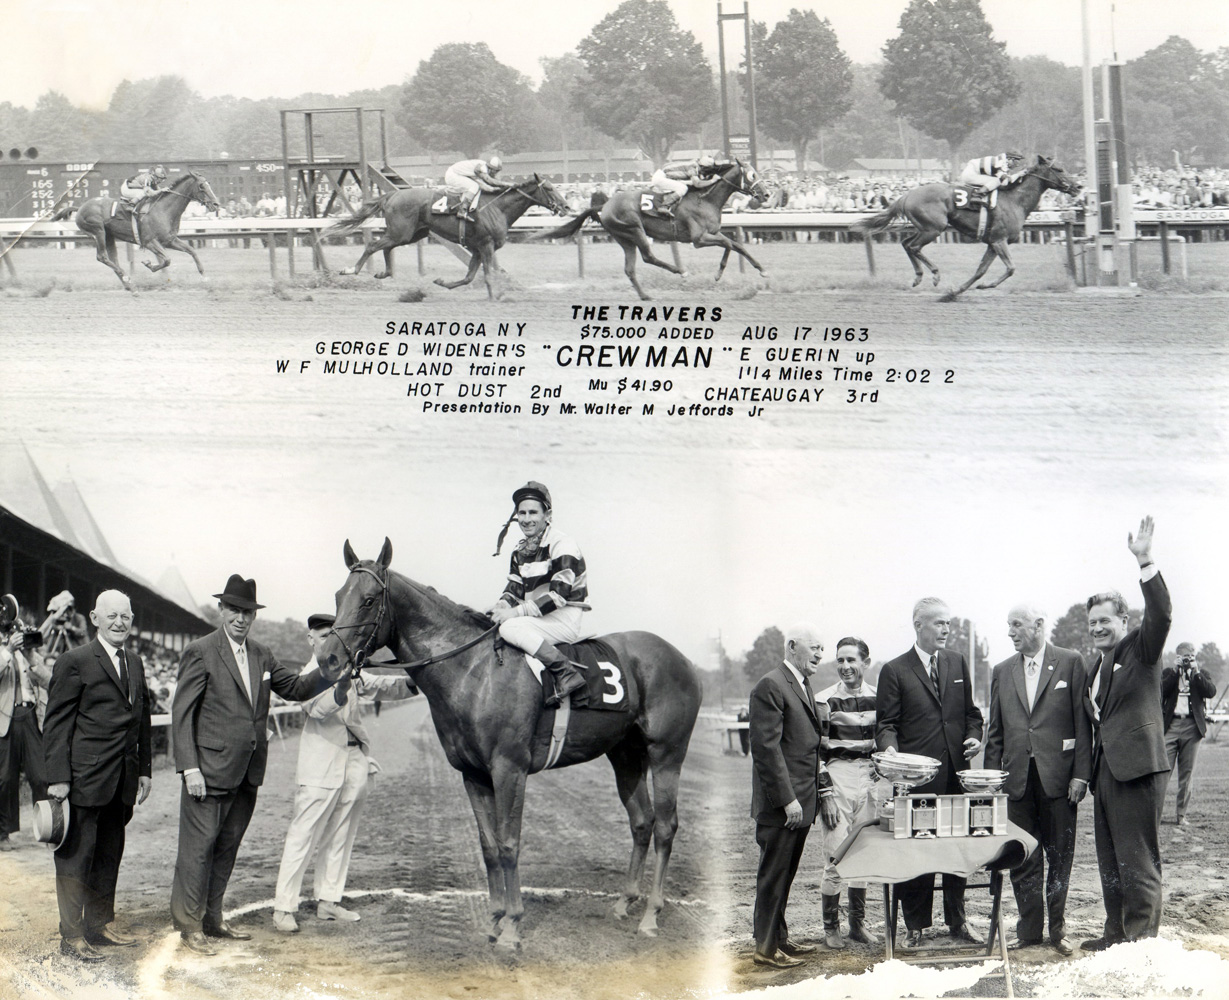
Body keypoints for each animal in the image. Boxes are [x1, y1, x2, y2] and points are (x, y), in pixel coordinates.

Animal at [74, 170, 221, 289]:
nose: (216, 204)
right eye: (201, 186)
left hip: (109, 236)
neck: (163, 209)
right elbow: (167, 260)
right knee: (102, 257)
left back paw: (129, 286)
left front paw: (204, 276)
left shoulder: (169, 240)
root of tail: (79, 208)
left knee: (112, 259)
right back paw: (127, 278)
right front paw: (149, 264)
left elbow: (192, 251)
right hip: (98, 231)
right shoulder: (149, 241)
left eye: (209, 184)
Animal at [312, 545, 707, 953]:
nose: (328, 659)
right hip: (625, 755)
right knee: (642, 822)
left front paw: (513, 926)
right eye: (339, 597)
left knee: (666, 826)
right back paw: (624, 903)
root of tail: (684, 661)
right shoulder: (473, 774)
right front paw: (494, 920)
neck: (473, 671)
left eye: (369, 600)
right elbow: (488, 847)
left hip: (667, 753)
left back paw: (651, 915)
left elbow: (508, 843)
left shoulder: (509, 769)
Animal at [317, 175, 565, 300]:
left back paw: (383, 273)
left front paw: (442, 282)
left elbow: (469, 277)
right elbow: (486, 275)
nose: (565, 206)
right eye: (550, 189)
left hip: (410, 234)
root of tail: (392, 195)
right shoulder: (486, 245)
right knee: (372, 245)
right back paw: (351, 270)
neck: (498, 207)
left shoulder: (477, 247)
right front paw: (495, 296)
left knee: (385, 247)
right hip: (402, 232)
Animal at [528, 158, 766, 300]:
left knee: (630, 269)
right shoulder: (699, 239)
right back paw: (680, 271)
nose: (765, 194)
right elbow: (727, 244)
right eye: (752, 175)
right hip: (634, 229)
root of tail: (604, 205)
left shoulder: (713, 233)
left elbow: (737, 245)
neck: (706, 199)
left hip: (625, 239)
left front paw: (762, 269)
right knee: (648, 257)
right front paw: (718, 274)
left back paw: (645, 296)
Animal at [850, 154, 1081, 299]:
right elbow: (1011, 268)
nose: (1078, 186)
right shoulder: (1000, 240)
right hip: (934, 228)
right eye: (1059, 169)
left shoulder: (992, 242)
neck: (1015, 200)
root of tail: (906, 195)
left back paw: (918, 277)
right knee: (914, 247)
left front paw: (958, 291)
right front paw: (977, 287)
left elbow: (981, 270)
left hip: (924, 228)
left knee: (906, 244)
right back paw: (935, 274)